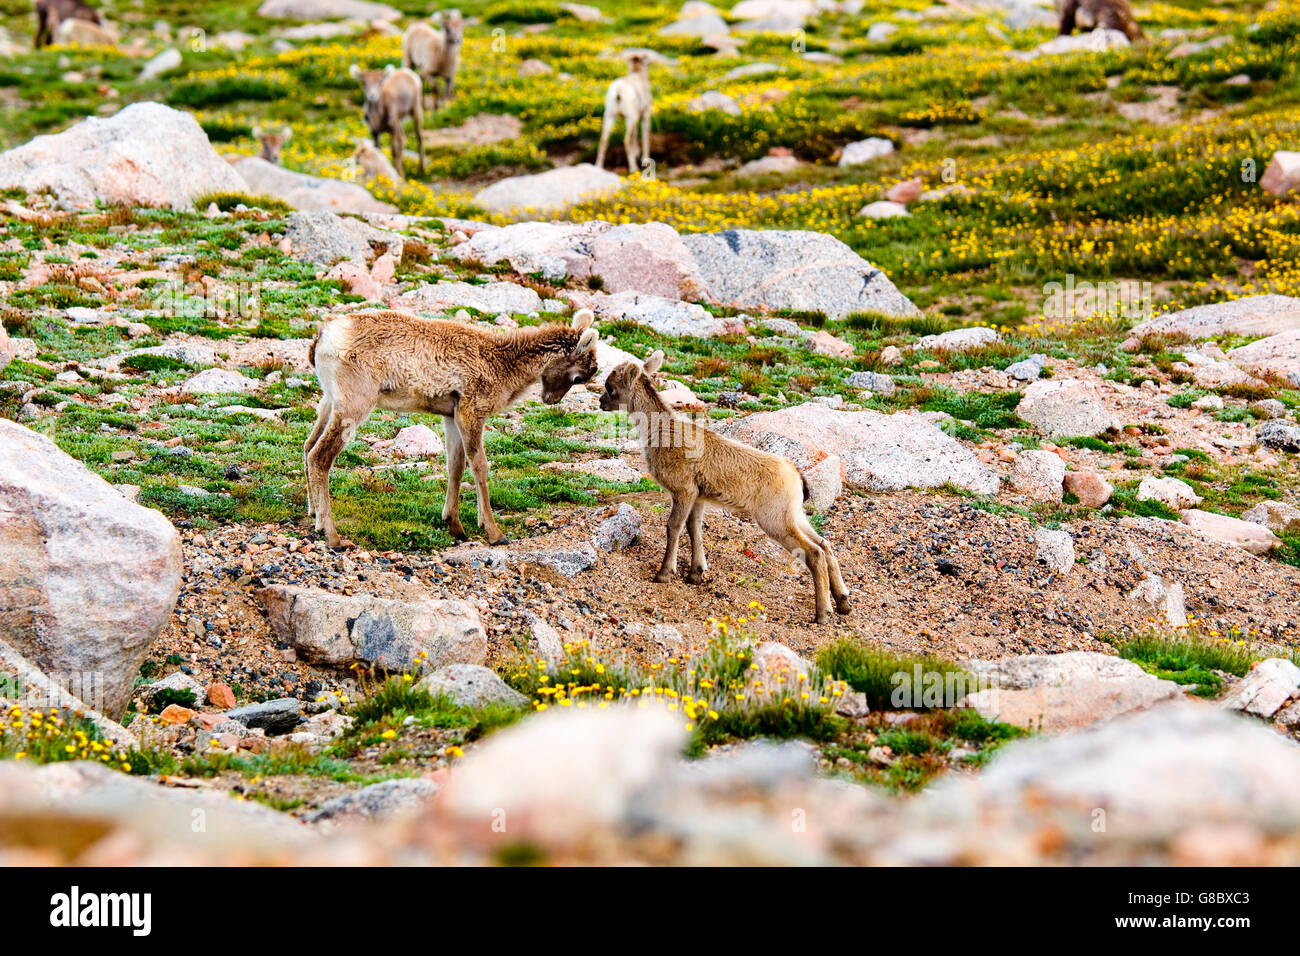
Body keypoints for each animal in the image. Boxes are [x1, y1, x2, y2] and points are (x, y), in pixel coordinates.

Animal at [306, 308, 600, 548]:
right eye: (579, 377)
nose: (551, 399)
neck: (504, 366)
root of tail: (322, 338)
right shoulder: (472, 410)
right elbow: (479, 466)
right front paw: (493, 532)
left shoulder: (450, 414)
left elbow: (455, 466)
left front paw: (455, 526)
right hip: (355, 404)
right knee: (320, 456)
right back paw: (333, 536)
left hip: (329, 401)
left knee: (308, 446)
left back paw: (315, 517)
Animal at [600, 351, 851, 623]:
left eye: (610, 387)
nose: (601, 402)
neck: (663, 433)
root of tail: (797, 478)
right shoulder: (698, 497)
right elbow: (694, 529)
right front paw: (696, 573)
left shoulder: (683, 491)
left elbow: (674, 527)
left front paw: (665, 573)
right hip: (794, 516)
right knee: (825, 545)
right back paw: (843, 602)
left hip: (775, 520)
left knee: (814, 552)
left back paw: (823, 613)